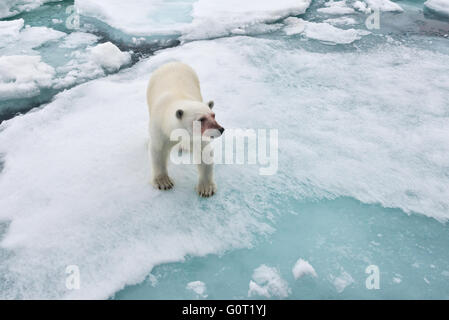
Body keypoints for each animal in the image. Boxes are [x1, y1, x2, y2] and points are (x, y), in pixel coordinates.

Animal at [146, 62, 224, 198]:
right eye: (201, 119)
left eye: (213, 115)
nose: (221, 129)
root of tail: (173, 62)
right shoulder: (159, 129)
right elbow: (158, 150)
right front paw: (164, 182)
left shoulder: (197, 137)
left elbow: (203, 152)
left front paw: (206, 188)